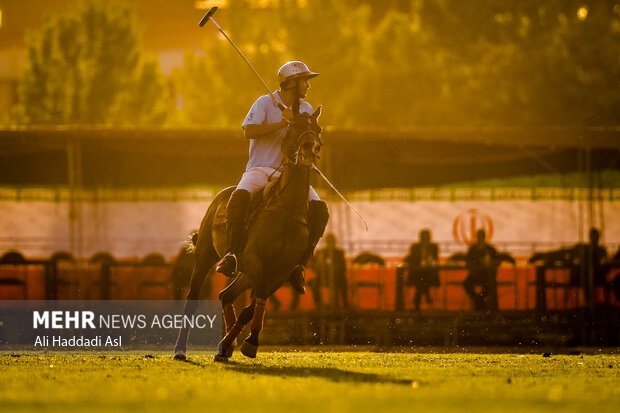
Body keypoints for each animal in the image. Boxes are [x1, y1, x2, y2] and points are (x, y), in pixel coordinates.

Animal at [172, 106, 322, 360]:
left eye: (318, 128)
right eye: (294, 126)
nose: (309, 148)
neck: (287, 207)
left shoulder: (281, 271)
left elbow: (251, 307)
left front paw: (244, 343)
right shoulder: (255, 259)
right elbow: (258, 295)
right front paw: (249, 342)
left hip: (246, 271)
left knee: (226, 295)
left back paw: (226, 345)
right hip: (206, 255)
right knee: (192, 299)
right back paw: (181, 350)